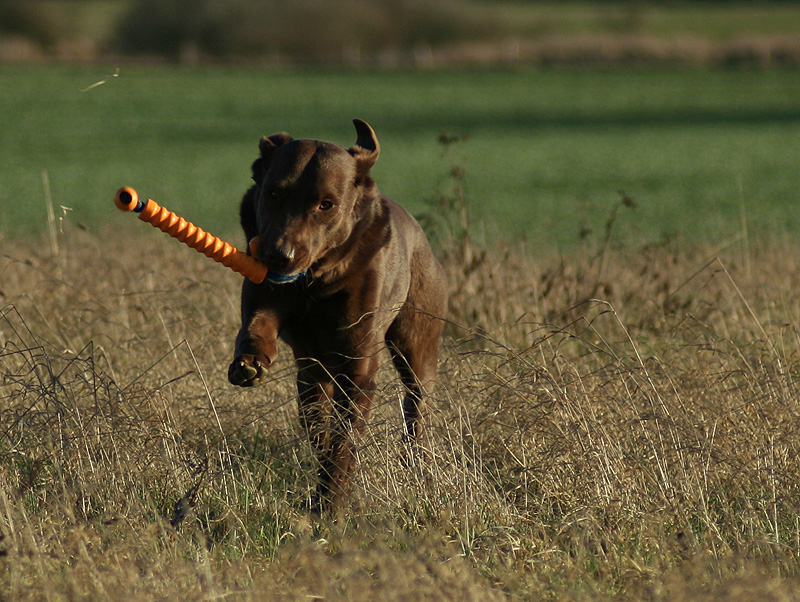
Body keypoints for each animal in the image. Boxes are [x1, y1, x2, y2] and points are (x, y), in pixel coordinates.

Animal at [228, 118, 446, 510]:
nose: (277, 255)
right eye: (273, 193)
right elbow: (256, 323)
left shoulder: (359, 364)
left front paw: (331, 503)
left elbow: (345, 442)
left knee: (417, 403)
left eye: (326, 204)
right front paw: (250, 361)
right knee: (315, 412)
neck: (314, 284)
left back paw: (417, 463)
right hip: (312, 372)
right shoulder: (265, 296)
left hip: (417, 340)